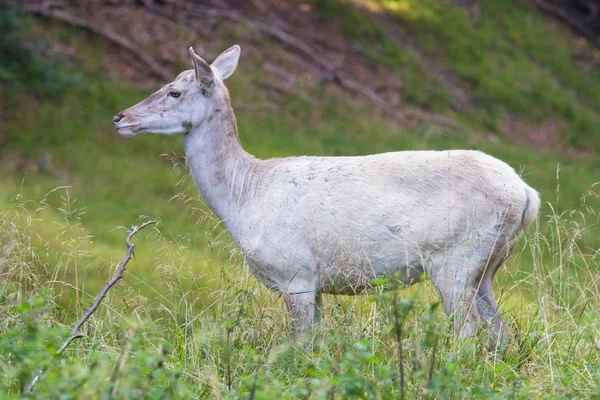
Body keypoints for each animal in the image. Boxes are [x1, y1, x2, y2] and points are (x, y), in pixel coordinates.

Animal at [112, 44, 540, 346]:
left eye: (173, 91)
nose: (120, 117)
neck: (245, 197)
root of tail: (526, 194)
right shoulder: (313, 281)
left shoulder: (295, 270)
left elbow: (300, 345)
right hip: (487, 266)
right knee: (502, 334)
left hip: (456, 258)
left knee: (469, 334)